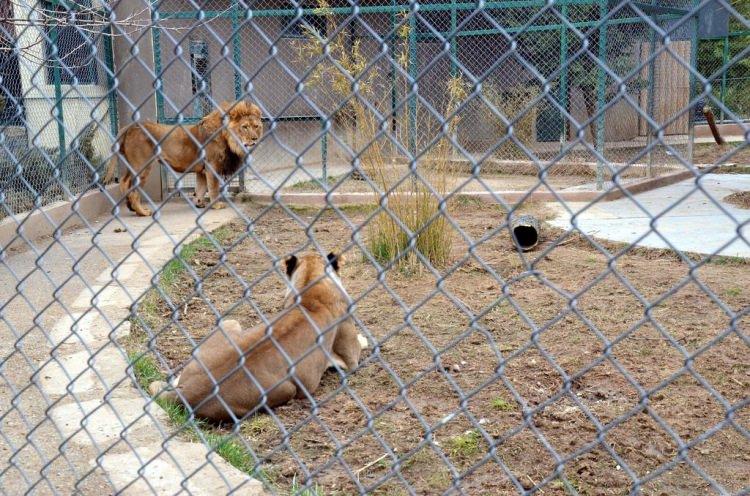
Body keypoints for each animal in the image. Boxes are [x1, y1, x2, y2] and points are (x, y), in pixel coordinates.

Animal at [110, 100, 264, 215]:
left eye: (256, 126)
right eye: (244, 127)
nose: (254, 139)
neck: (228, 138)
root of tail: (131, 126)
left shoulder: (202, 170)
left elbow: (201, 188)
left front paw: (200, 204)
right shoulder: (212, 166)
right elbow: (213, 187)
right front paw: (216, 205)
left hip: (132, 165)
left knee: (124, 182)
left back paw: (130, 207)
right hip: (143, 166)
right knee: (134, 189)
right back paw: (142, 212)